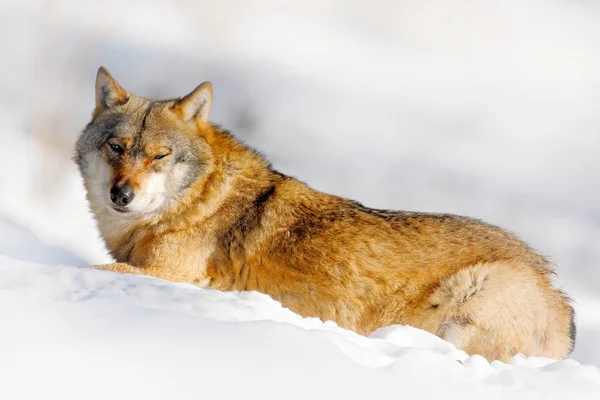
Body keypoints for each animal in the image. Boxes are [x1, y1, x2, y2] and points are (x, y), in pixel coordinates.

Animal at [75, 67, 576, 360]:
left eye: (159, 156)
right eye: (117, 148)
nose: (122, 194)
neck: (196, 201)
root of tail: (556, 292)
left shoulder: (173, 274)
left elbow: (89, 268)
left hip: (468, 305)